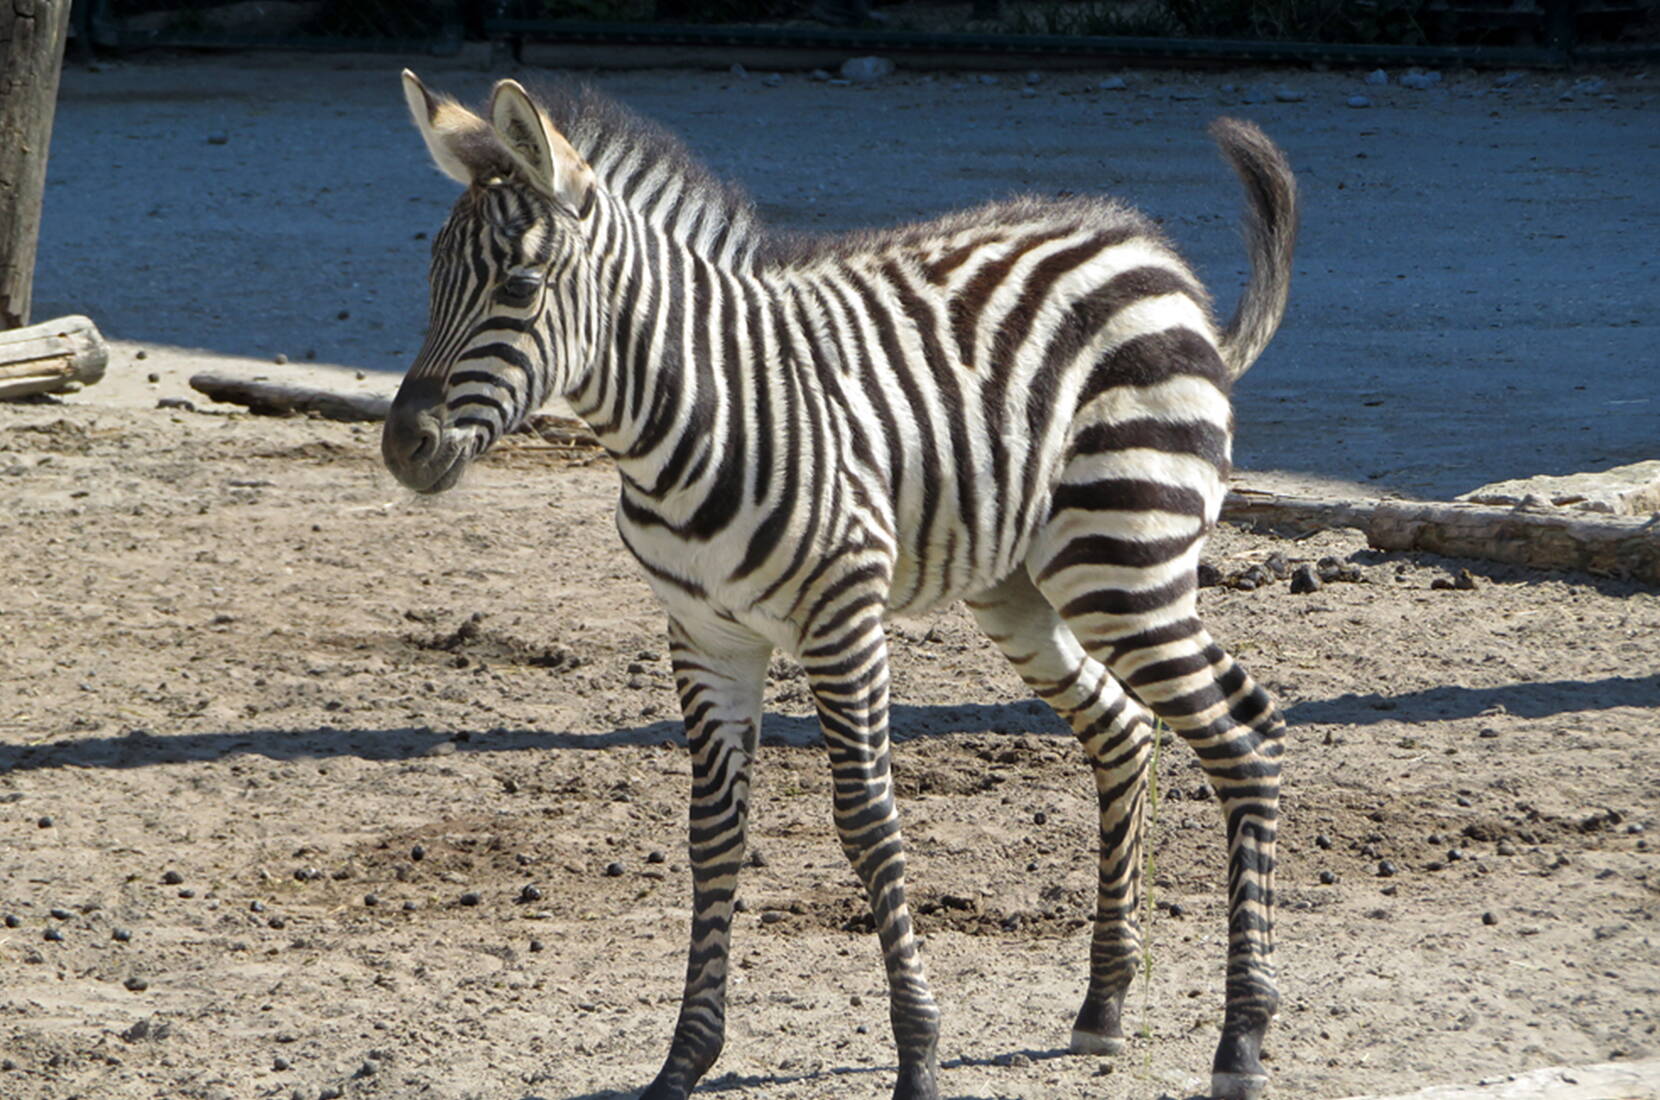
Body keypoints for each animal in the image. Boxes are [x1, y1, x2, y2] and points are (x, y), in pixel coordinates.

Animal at [385, 73, 1294, 1095]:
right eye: (431, 280)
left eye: (519, 287)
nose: (402, 447)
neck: (690, 413)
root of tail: (1153, 256)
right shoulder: (706, 636)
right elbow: (713, 833)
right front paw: (685, 1058)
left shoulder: (841, 619)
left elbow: (866, 820)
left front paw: (919, 1053)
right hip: (1026, 586)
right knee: (1124, 727)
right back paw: (1104, 1004)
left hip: (1125, 559)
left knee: (1246, 736)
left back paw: (1242, 1037)